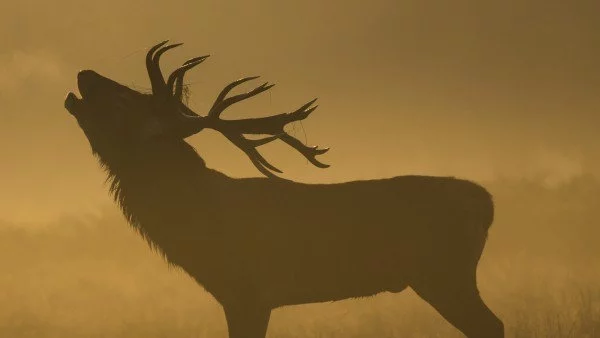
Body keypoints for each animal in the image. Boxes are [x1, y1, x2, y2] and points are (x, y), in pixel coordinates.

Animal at [63, 41, 504, 336]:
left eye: (125, 102)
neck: (197, 228)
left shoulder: (247, 290)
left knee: (491, 325)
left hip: (444, 272)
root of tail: (486, 202)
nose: (85, 74)